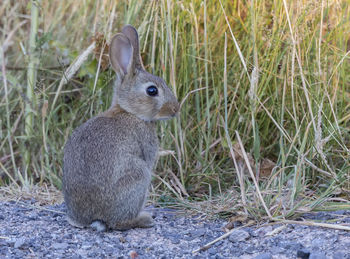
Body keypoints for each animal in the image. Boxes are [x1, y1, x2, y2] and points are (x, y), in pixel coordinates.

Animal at [61, 24, 179, 232]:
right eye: (152, 90)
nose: (175, 109)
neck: (129, 111)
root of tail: (93, 218)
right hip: (139, 177)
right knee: (117, 223)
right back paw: (144, 219)